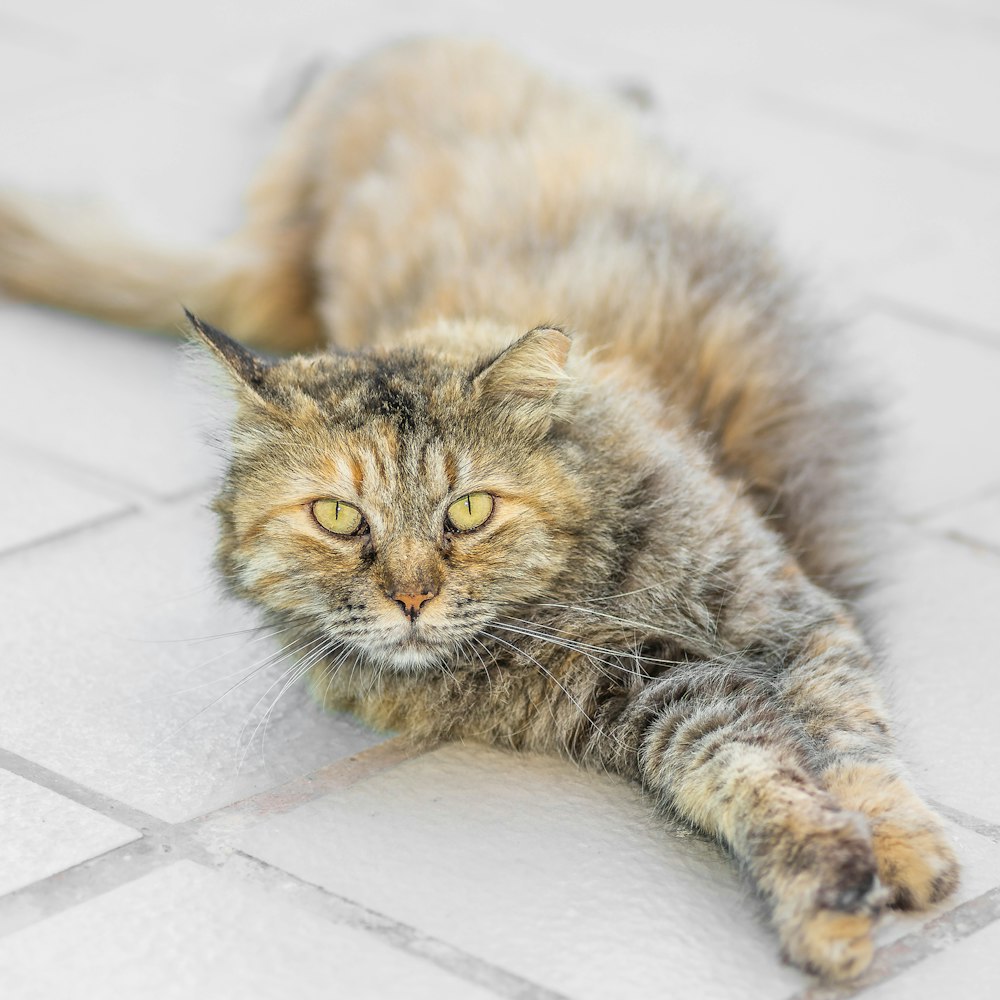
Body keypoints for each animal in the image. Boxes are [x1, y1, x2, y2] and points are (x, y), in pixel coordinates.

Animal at [0, 37, 960, 976]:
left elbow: (851, 746)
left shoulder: (785, 617)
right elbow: (761, 776)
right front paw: (830, 897)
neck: (585, 595)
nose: (412, 599)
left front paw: (905, 854)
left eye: (467, 512)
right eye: (340, 518)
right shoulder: (662, 694)